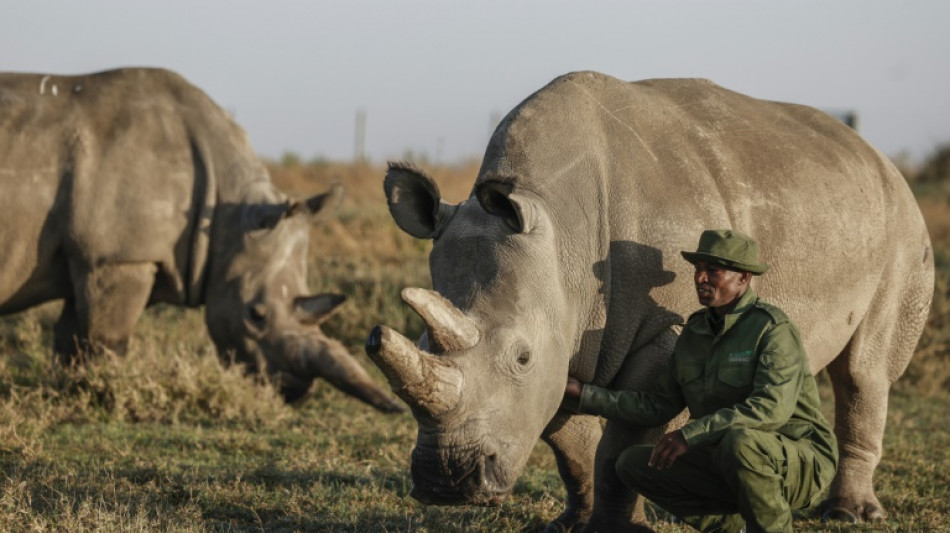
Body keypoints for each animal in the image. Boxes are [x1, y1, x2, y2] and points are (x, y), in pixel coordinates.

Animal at [0, 67, 402, 413]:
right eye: (256, 314)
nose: (294, 391)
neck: (226, 215)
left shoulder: (95, 256)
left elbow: (72, 336)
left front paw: (71, 386)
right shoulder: (121, 257)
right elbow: (106, 339)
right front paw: (99, 391)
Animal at [367, 71, 934, 531]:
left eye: (521, 357)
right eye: (418, 340)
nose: (446, 481)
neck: (562, 230)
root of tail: (875, 154)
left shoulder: (663, 331)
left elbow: (622, 443)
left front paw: (614, 528)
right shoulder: (562, 336)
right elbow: (572, 441)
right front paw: (573, 523)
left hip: (902, 223)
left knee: (863, 371)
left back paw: (849, 515)